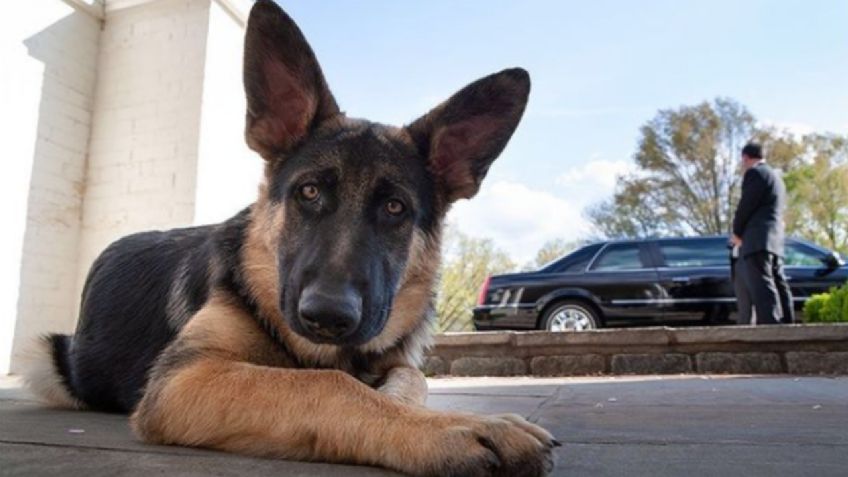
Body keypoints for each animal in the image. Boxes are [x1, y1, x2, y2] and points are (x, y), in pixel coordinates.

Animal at [21, 1, 556, 474]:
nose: (328, 315)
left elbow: (407, 378)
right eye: (310, 191)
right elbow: (330, 386)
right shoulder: (184, 378)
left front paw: (415, 411)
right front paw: (452, 428)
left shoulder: (395, 361)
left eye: (395, 208)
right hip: (46, 359)